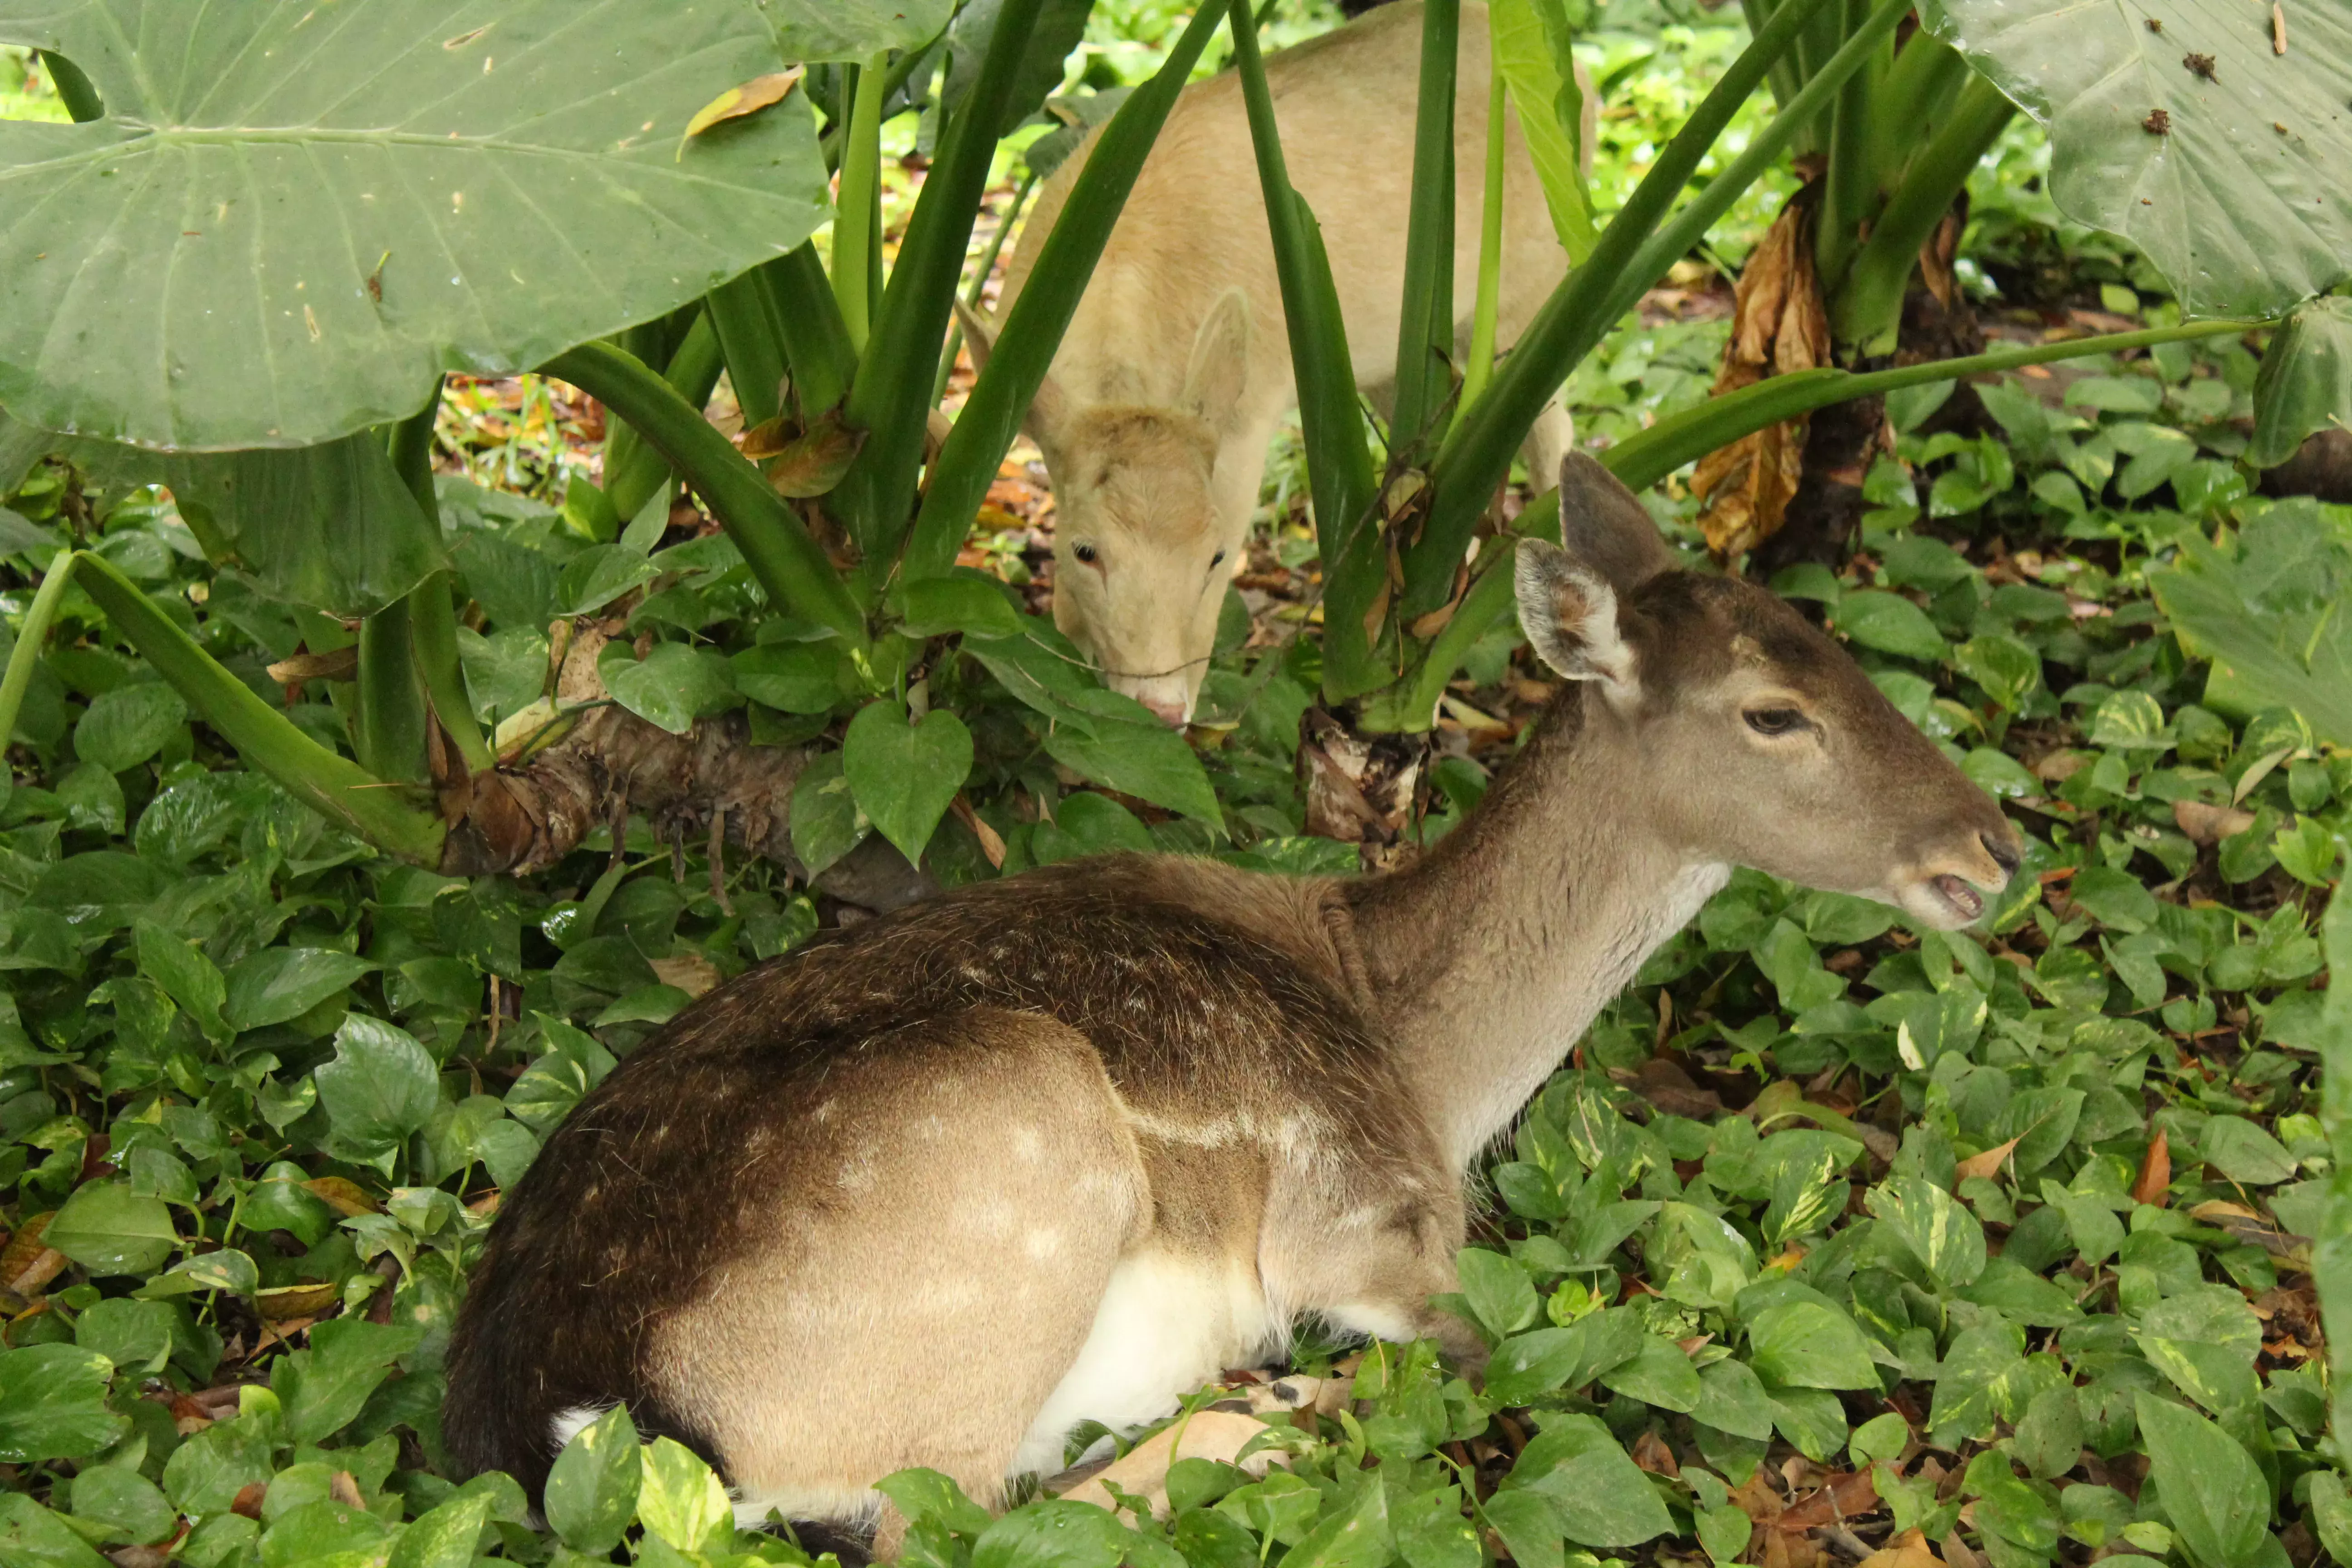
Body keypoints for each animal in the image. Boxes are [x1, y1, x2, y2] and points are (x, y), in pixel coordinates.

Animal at [444, 456, 2023, 1561]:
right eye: (1773, 712)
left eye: (1835, 645)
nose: (1992, 846)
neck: (1427, 1059)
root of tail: (584, 1426)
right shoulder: (1380, 1237)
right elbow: (1484, 1357)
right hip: (1012, 1158)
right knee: (946, 1527)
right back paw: (1265, 1415)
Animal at [955, 0, 1599, 724]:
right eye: (1084, 550)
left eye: (1216, 555)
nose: (1161, 709)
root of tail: (1582, 80)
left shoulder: (1249, 418)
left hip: (1535, 279)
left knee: (1549, 425)